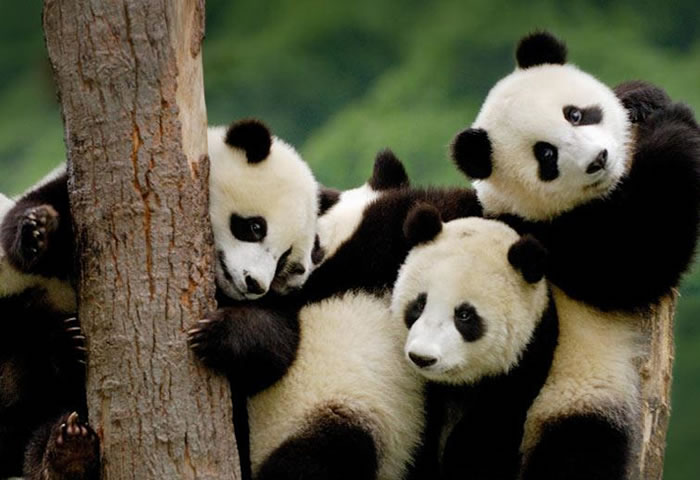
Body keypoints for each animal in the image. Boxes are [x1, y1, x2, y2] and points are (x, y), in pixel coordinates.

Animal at [450, 31, 700, 479]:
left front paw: (641, 98)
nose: (598, 160)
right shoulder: (548, 240)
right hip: (570, 396)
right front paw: (675, 123)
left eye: (575, 114)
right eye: (546, 155)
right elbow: (636, 258)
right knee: (577, 451)